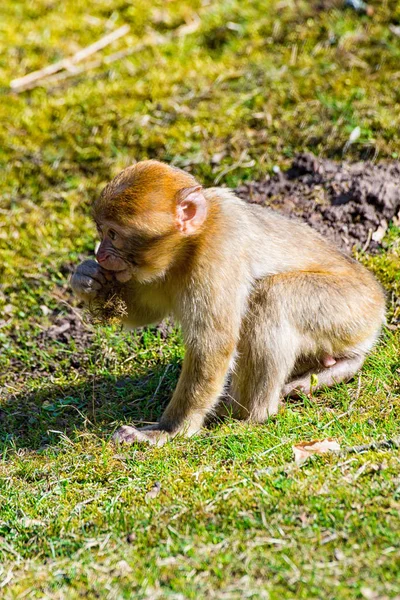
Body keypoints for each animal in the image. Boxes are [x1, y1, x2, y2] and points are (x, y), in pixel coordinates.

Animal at [70, 159, 386, 446]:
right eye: (101, 232)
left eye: (114, 234)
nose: (101, 255)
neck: (189, 246)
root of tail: (380, 299)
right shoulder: (164, 271)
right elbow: (148, 311)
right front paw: (87, 278)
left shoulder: (218, 250)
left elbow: (213, 344)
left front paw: (170, 430)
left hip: (352, 309)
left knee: (272, 296)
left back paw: (251, 415)